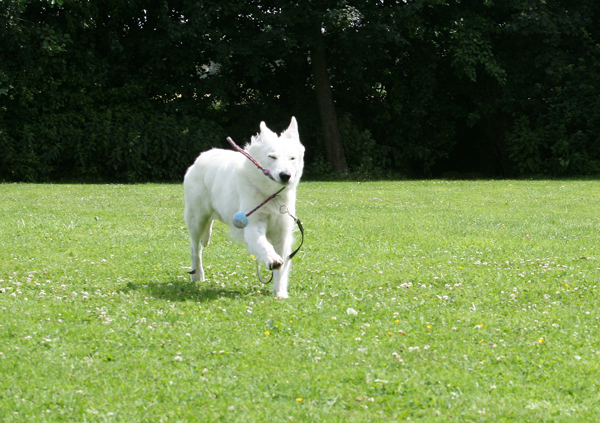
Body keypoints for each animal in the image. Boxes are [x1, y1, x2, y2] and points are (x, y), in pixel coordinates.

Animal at [183, 117, 305, 298]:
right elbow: (263, 244)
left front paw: (279, 292)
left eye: (292, 158)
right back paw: (197, 274)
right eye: (272, 156)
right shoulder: (252, 225)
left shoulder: (283, 232)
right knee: (195, 248)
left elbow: (282, 268)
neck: (270, 195)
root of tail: (202, 156)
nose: (285, 176)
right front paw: (271, 259)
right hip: (196, 219)